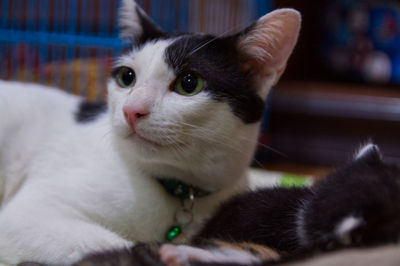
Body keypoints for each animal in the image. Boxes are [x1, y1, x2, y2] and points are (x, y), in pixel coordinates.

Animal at [0, 0, 300, 264]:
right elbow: (113, 246)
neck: (181, 189)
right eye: (127, 77)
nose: (131, 110)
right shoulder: (27, 215)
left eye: (189, 84)